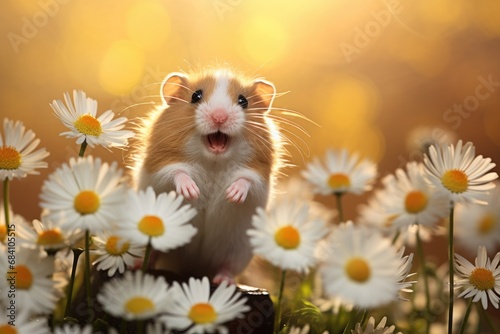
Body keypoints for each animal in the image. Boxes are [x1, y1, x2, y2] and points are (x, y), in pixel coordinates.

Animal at [132, 68, 282, 284]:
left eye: (243, 101)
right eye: (196, 96)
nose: (219, 117)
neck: (214, 161)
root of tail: (194, 268)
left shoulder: (258, 173)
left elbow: (246, 180)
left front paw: (232, 195)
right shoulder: (160, 166)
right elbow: (177, 172)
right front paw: (192, 191)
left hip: (238, 250)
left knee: (227, 266)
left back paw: (224, 281)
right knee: (153, 253)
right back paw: (137, 265)